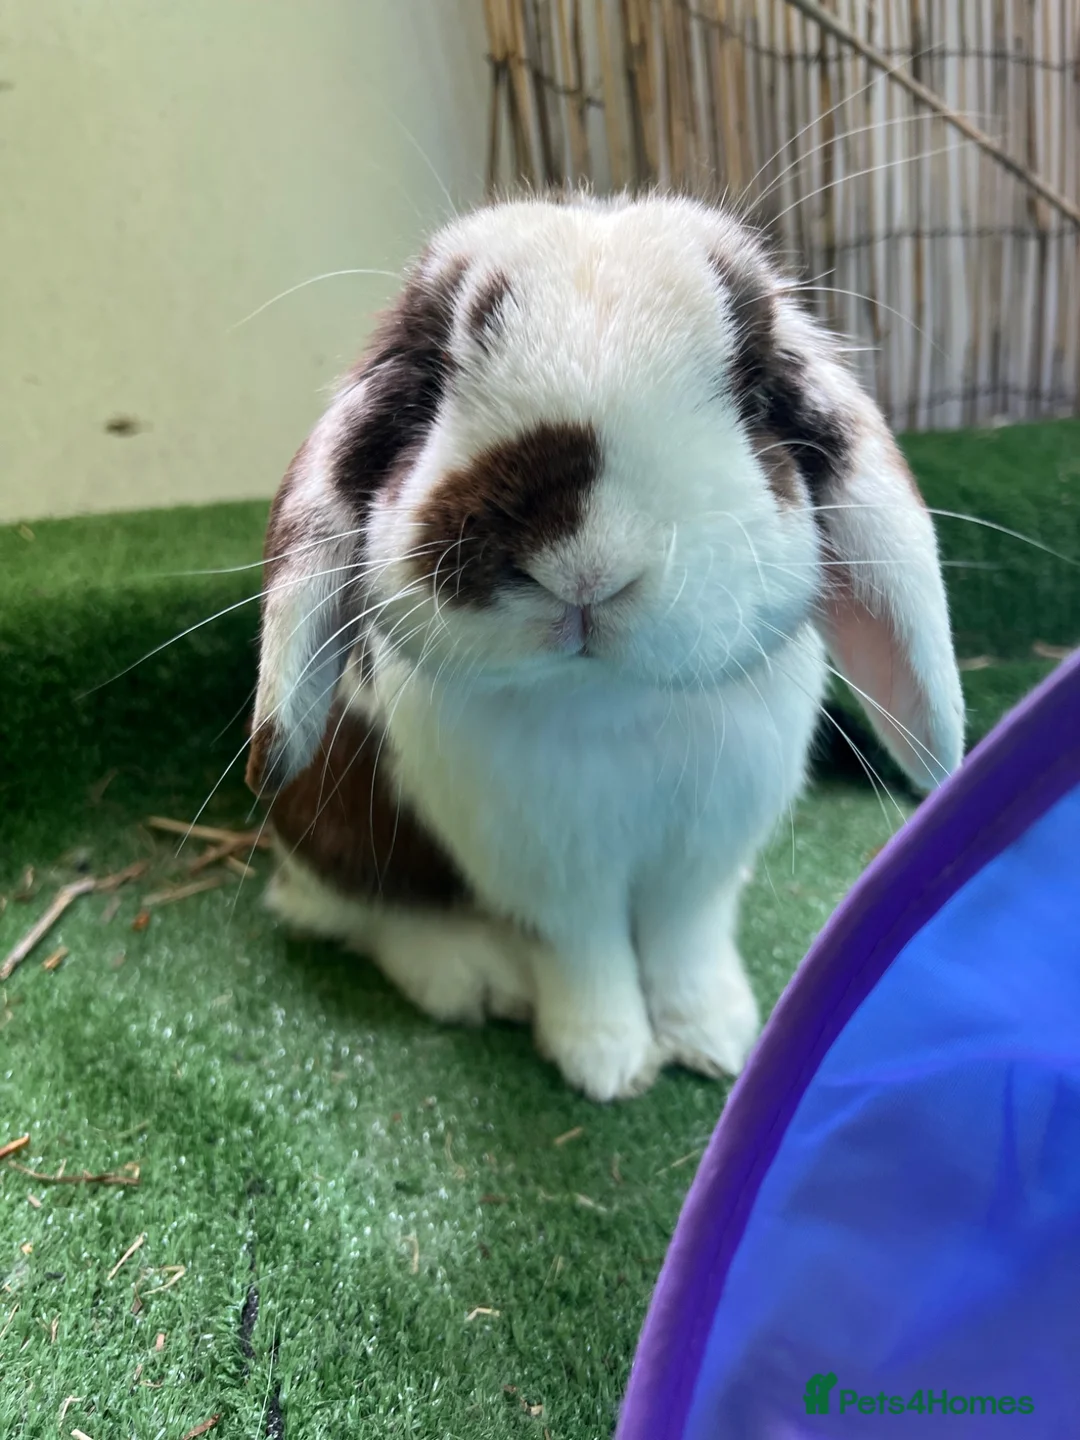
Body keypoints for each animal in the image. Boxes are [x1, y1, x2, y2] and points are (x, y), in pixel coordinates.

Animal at [244, 192, 964, 1102]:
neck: (610, 703)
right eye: (425, 388)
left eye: (754, 391)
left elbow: (685, 936)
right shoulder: (547, 873)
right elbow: (583, 953)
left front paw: (715, 1038)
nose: (583, 561)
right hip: (331, 825)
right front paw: (607, 1062)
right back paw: (471, 977)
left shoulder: (703, 854)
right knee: (352, 911)